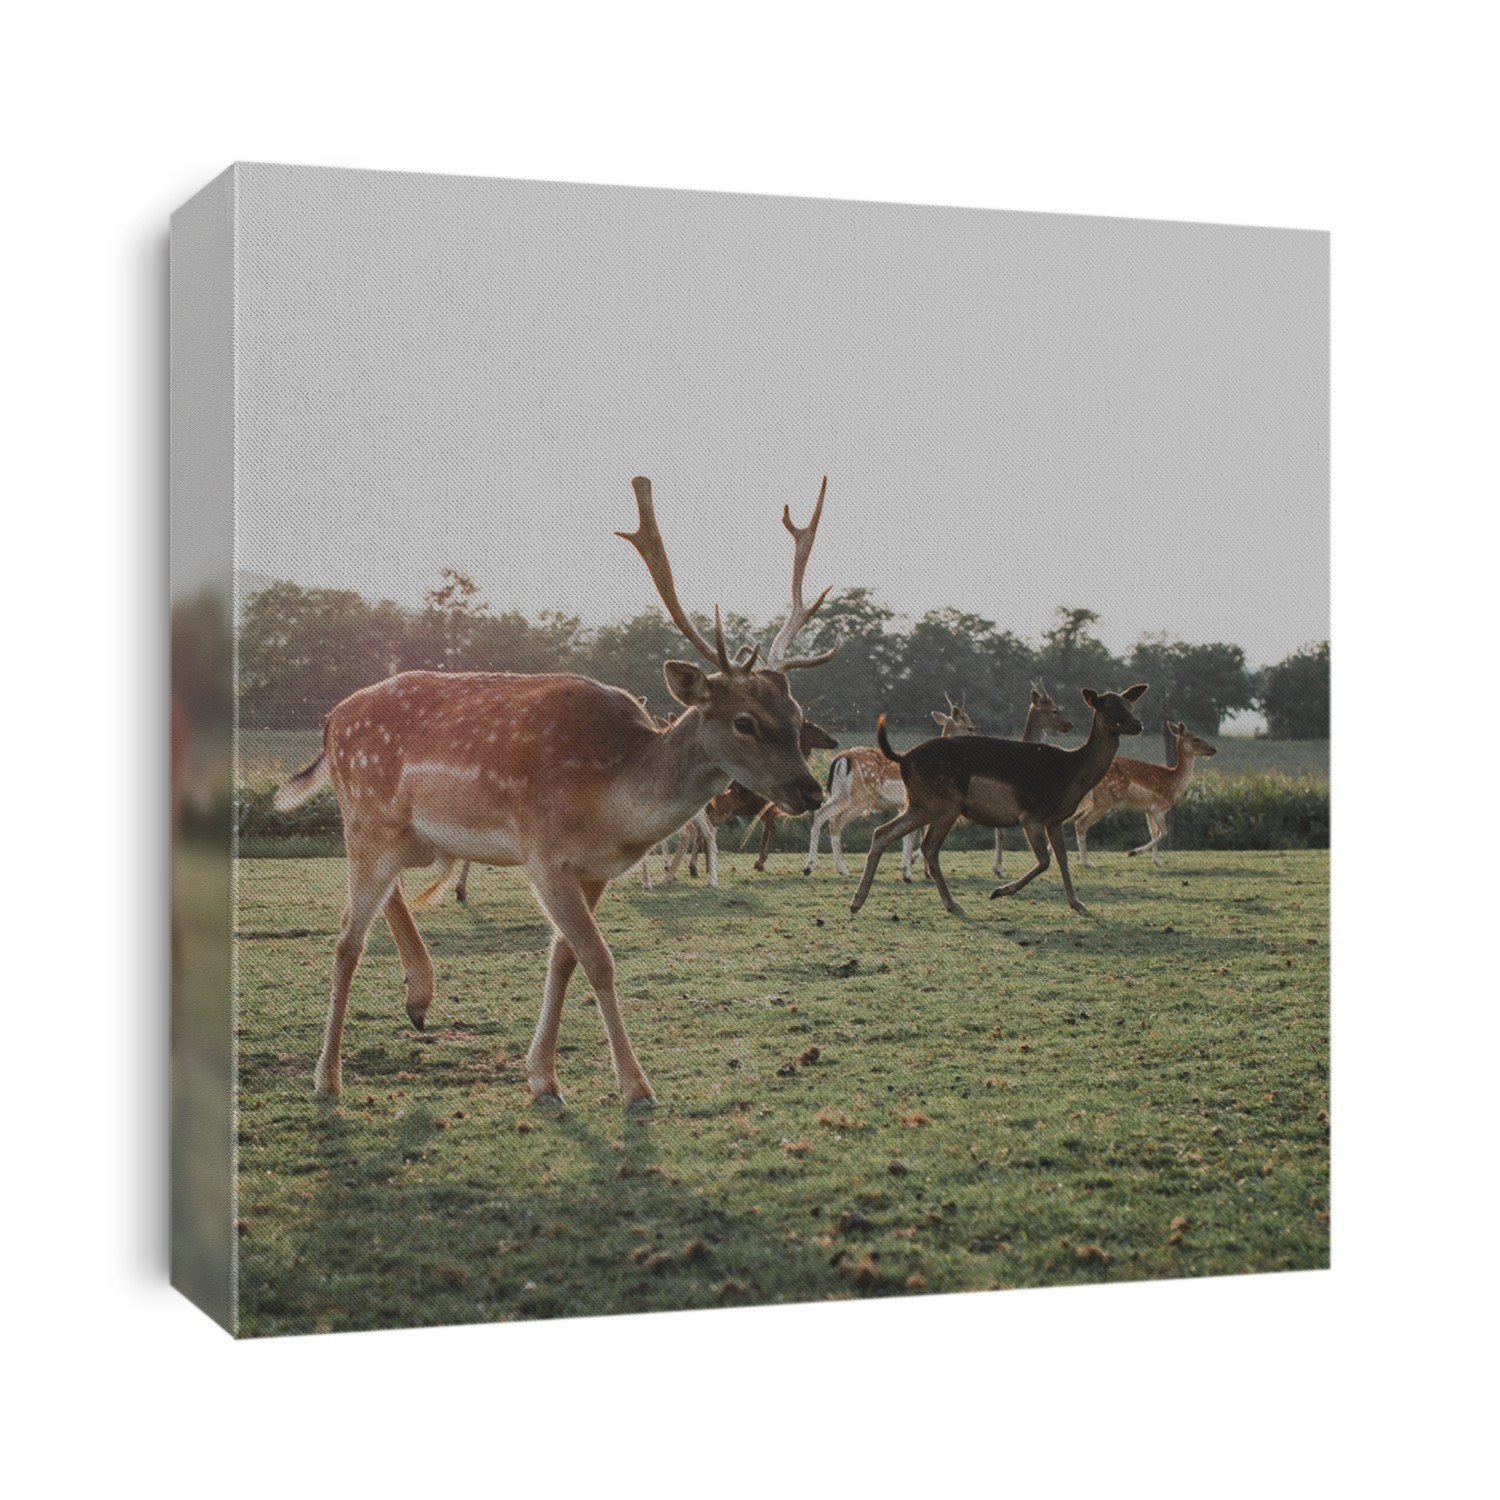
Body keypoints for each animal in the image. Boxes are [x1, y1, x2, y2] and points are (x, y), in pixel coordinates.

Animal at [274, 475, 837, 1106]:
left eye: (797, 715)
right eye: (744, 721)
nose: (809, 791)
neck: (612, 804)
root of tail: (329, 721)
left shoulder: (593, 869)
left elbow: (563, 957)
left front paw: (542, 1077)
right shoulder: (542, 852)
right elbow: (599, 958)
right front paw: (635, 1085)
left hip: (409, 837)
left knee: (381, 902)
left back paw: (419, 995)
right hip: (367, 817)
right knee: (348, 937)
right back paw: (328, 1076)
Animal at [803, 698, 975, 880]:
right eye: (970, 727)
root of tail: (841, 759)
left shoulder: (907, 805)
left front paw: (915, 871)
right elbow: (913, 834)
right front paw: (909, 869)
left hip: (839, 794)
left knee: (821, 814)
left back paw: (809, 867)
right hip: (861, 797)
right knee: (835, 821)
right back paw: (842, 869)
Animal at [848, 684, 1148, 919]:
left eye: (1130, 703)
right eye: (1108, 705)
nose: (1138, 724)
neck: (1072, 775)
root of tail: (902, 758)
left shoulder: (1054, 820)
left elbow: (1061, 858)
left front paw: (1077, 903)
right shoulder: (1031, 814)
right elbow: (1044, 860)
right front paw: (1000, 891)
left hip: (920, 804)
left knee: (882, 832)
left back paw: (857, 901)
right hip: (945, 803)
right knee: (929, 846)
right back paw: (953, 904)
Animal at [1071, 720, 1217, 866]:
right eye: (1196, 739)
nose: (1213, 749)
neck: (1175, 783)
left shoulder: (1148, 810)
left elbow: (1154, 832)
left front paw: (1157, 861)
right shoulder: (1158, 807)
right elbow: (1164, 832)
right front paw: (1133, 852)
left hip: (1090, 800)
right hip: (1103, 800)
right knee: (1080, 824)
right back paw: (1087, 862)